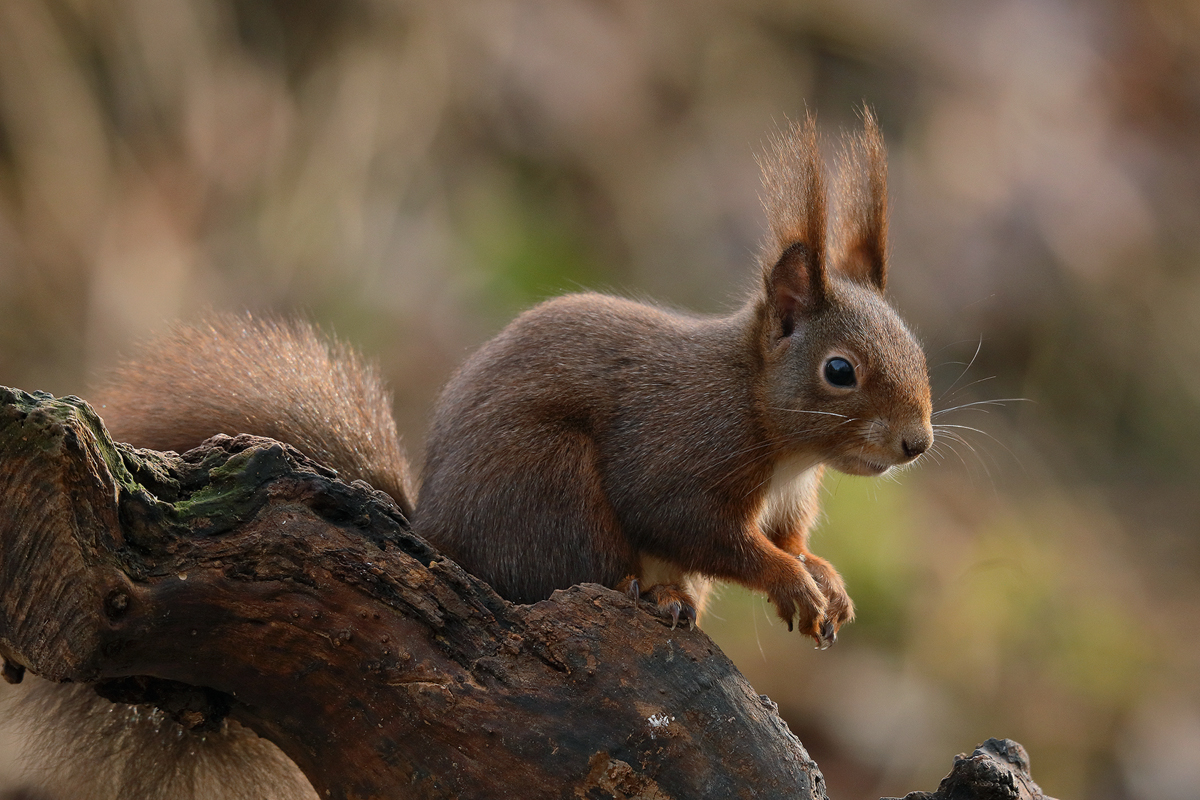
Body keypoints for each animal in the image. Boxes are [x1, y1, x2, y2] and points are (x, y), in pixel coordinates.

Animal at [4, 113, 931, 800]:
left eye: (916, 348)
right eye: (840, 371)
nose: (916, 443)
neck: (771, 429)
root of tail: (438, 535)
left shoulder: (788, 498)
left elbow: (785, 538)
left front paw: (824, 580)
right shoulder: (681, 449)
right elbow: (692, 523)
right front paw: (790, 581)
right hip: (551, 489)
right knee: (574, 570)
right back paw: (651, 597)